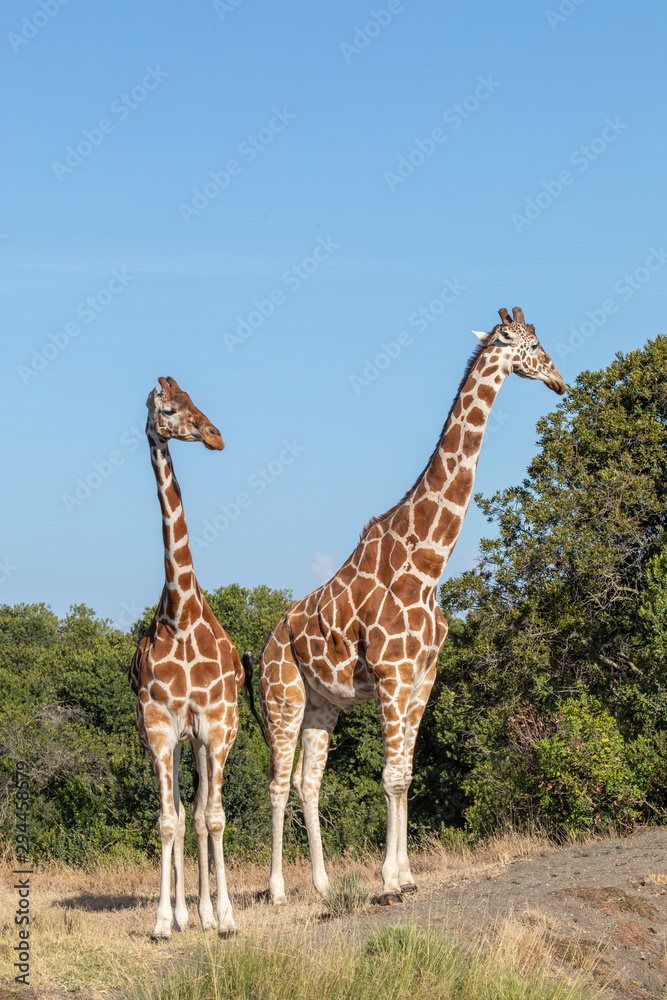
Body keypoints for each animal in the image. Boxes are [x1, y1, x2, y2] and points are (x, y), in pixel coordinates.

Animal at [258, 307, 566, 905]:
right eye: (531, 345)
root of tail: (261, 647)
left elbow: (405, 773)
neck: (426, 565)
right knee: (279, 784)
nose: (561, 381)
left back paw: (322, 885)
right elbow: (390, 776)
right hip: (282, 698)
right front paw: (387, 882)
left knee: (308, 782)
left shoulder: (423, 677)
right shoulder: (392, 675)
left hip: (321, 704)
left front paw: (405, 875)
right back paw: (279, 890)